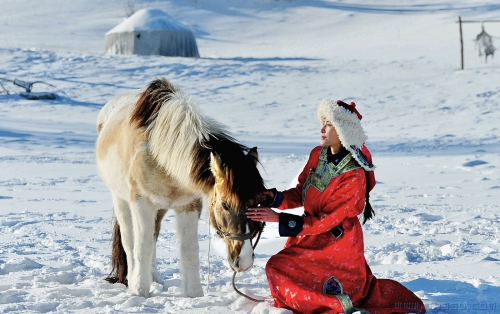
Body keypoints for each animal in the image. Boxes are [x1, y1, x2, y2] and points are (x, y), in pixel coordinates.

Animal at [94, 77, 266, 298]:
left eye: (256, 203)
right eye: (226, 205)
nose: (244, 261)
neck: (161, 157)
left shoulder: (189, 205)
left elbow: (189, 249)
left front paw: (194, 294)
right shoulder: (141, 203)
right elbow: (141, 246)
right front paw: (140, 291)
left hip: (159, 209)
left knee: (154, 236)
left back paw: (155, 279)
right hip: (121, 200)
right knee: (130, 240)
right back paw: (134, 280)